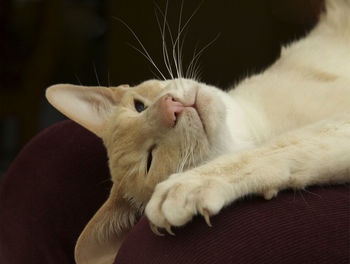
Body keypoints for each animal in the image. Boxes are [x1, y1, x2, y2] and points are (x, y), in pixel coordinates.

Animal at [46, 0, 350, 264]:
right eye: (150, 160)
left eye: (139, 107)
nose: (170, 108)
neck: (253, 122)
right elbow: (275, 153)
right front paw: (187, 187)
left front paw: (187, 185)